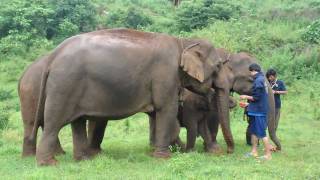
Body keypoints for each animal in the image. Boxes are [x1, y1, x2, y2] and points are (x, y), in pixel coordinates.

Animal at [21, 28, 225, 166]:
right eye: (218, 66)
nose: (225, 152)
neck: (183, 42)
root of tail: (53, 56)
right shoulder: (165, 74)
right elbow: (166, 109)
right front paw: (164, 158)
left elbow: (159, 114)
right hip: (64, 85)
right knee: (53, 123)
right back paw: (49, 164)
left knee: (76, 122)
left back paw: (84, 160)